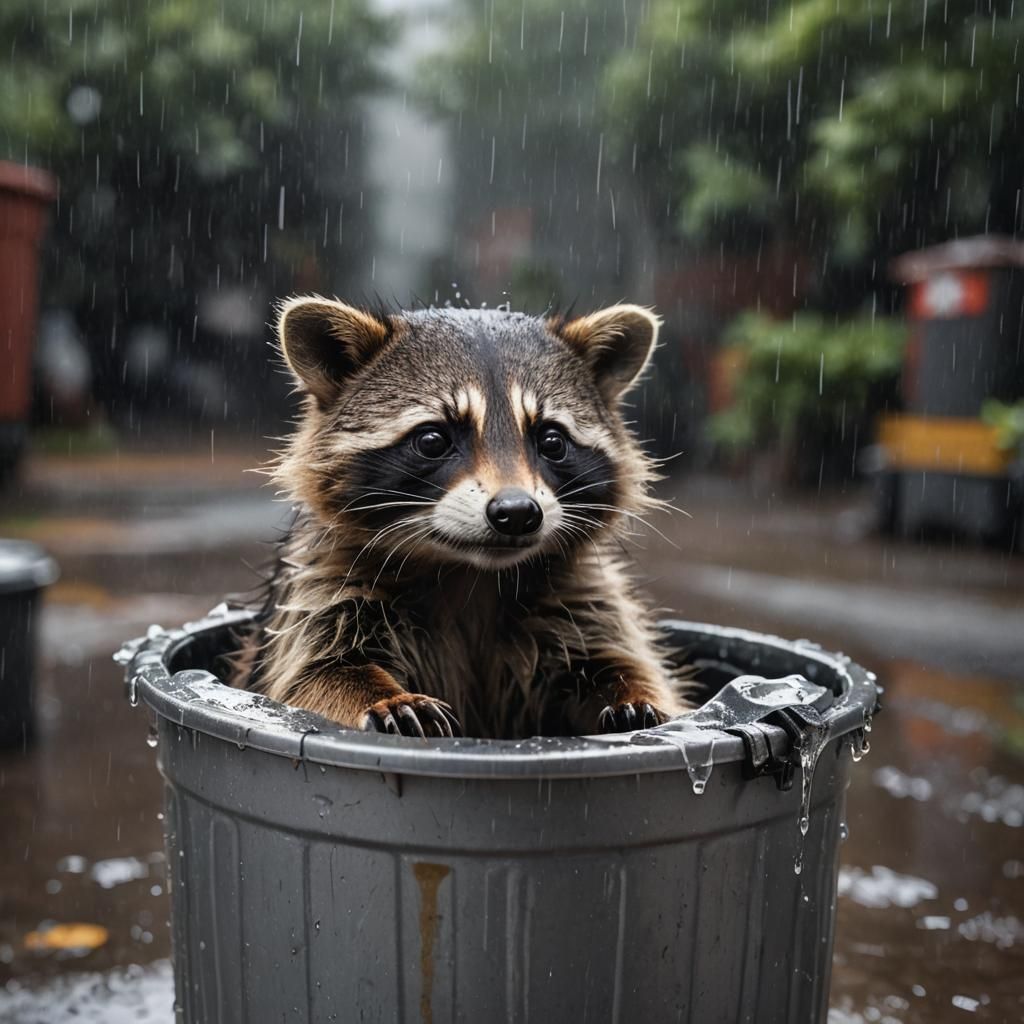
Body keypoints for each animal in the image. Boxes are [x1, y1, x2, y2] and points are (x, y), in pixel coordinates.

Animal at [234, 297, 691, 739]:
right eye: (433, 440)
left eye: (552, 441)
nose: (517, 513)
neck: (470, 574)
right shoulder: (322, 585)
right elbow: (315, 674)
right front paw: (382, 696)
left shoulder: (585, 597)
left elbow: (620, 660)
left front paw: (634, 694)